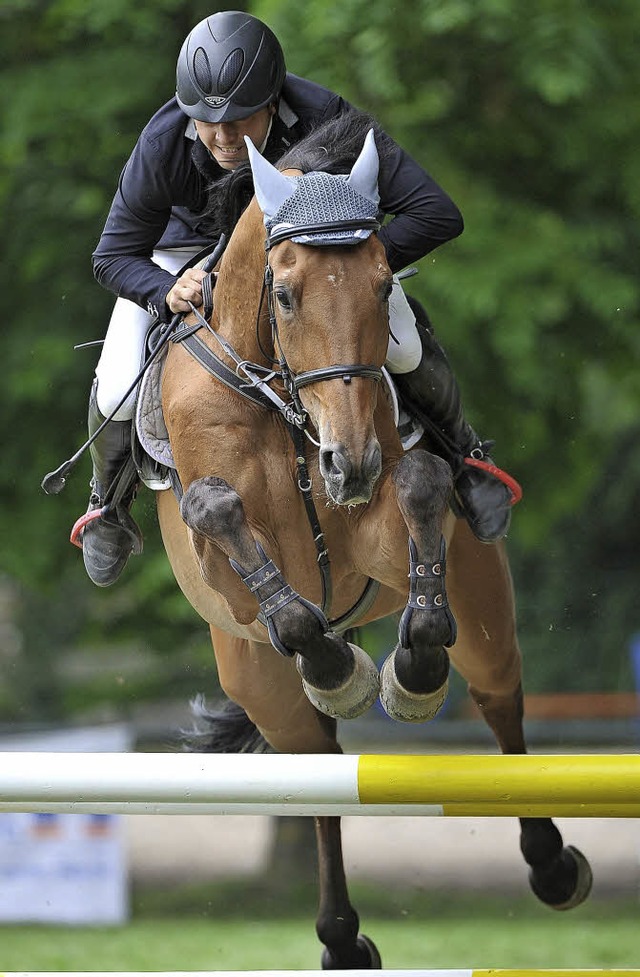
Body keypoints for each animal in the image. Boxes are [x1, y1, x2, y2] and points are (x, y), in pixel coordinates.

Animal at [154, 112, 592, 968]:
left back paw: (552, 864)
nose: (348, 463)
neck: (282, 401)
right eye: (284, 294)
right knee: (315, 772)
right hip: (255, 676)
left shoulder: (382, 533)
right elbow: (230, 527)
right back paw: (341, 936)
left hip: (483, 605)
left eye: (385, 285)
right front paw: (337, 666)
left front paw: (412, 670)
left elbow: (420, 485)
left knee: (500, 700)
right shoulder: (227, 573)